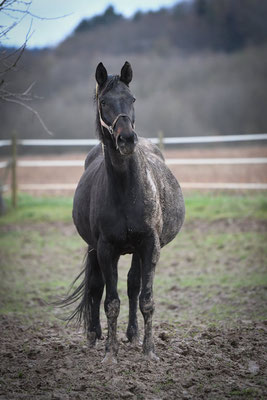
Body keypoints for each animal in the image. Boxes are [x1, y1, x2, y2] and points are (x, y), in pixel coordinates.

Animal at [62, 61, 185, 362]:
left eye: (132, 99)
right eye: (104, 102)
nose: (127, 138)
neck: (126, 189)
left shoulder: (150, 245)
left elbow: (146, 299)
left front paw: (149, 352)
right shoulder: (106, 249)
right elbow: (111, 301)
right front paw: (110, 354)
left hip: (136, 251)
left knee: (132, 286)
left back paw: (133, 335)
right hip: (95, 248)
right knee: (96, 287)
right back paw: (94, 336)